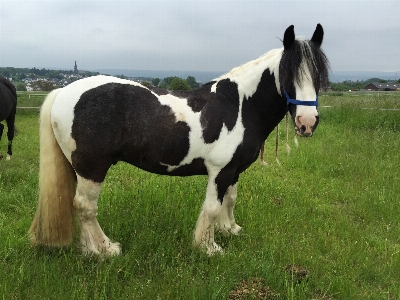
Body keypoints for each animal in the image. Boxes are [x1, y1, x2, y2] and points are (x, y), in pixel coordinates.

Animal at [27, 24, 328, 256]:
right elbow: (212, 207)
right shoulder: (219, 171)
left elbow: (230, 200)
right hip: (92, 168)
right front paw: (208, 248)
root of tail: (64, 91)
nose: (307, 122)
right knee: (85, 207)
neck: (239, 105)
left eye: (318, 74)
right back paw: (105, 250)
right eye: (287, 73)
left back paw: (90, 249)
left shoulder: (234, 170)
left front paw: (230, 229)